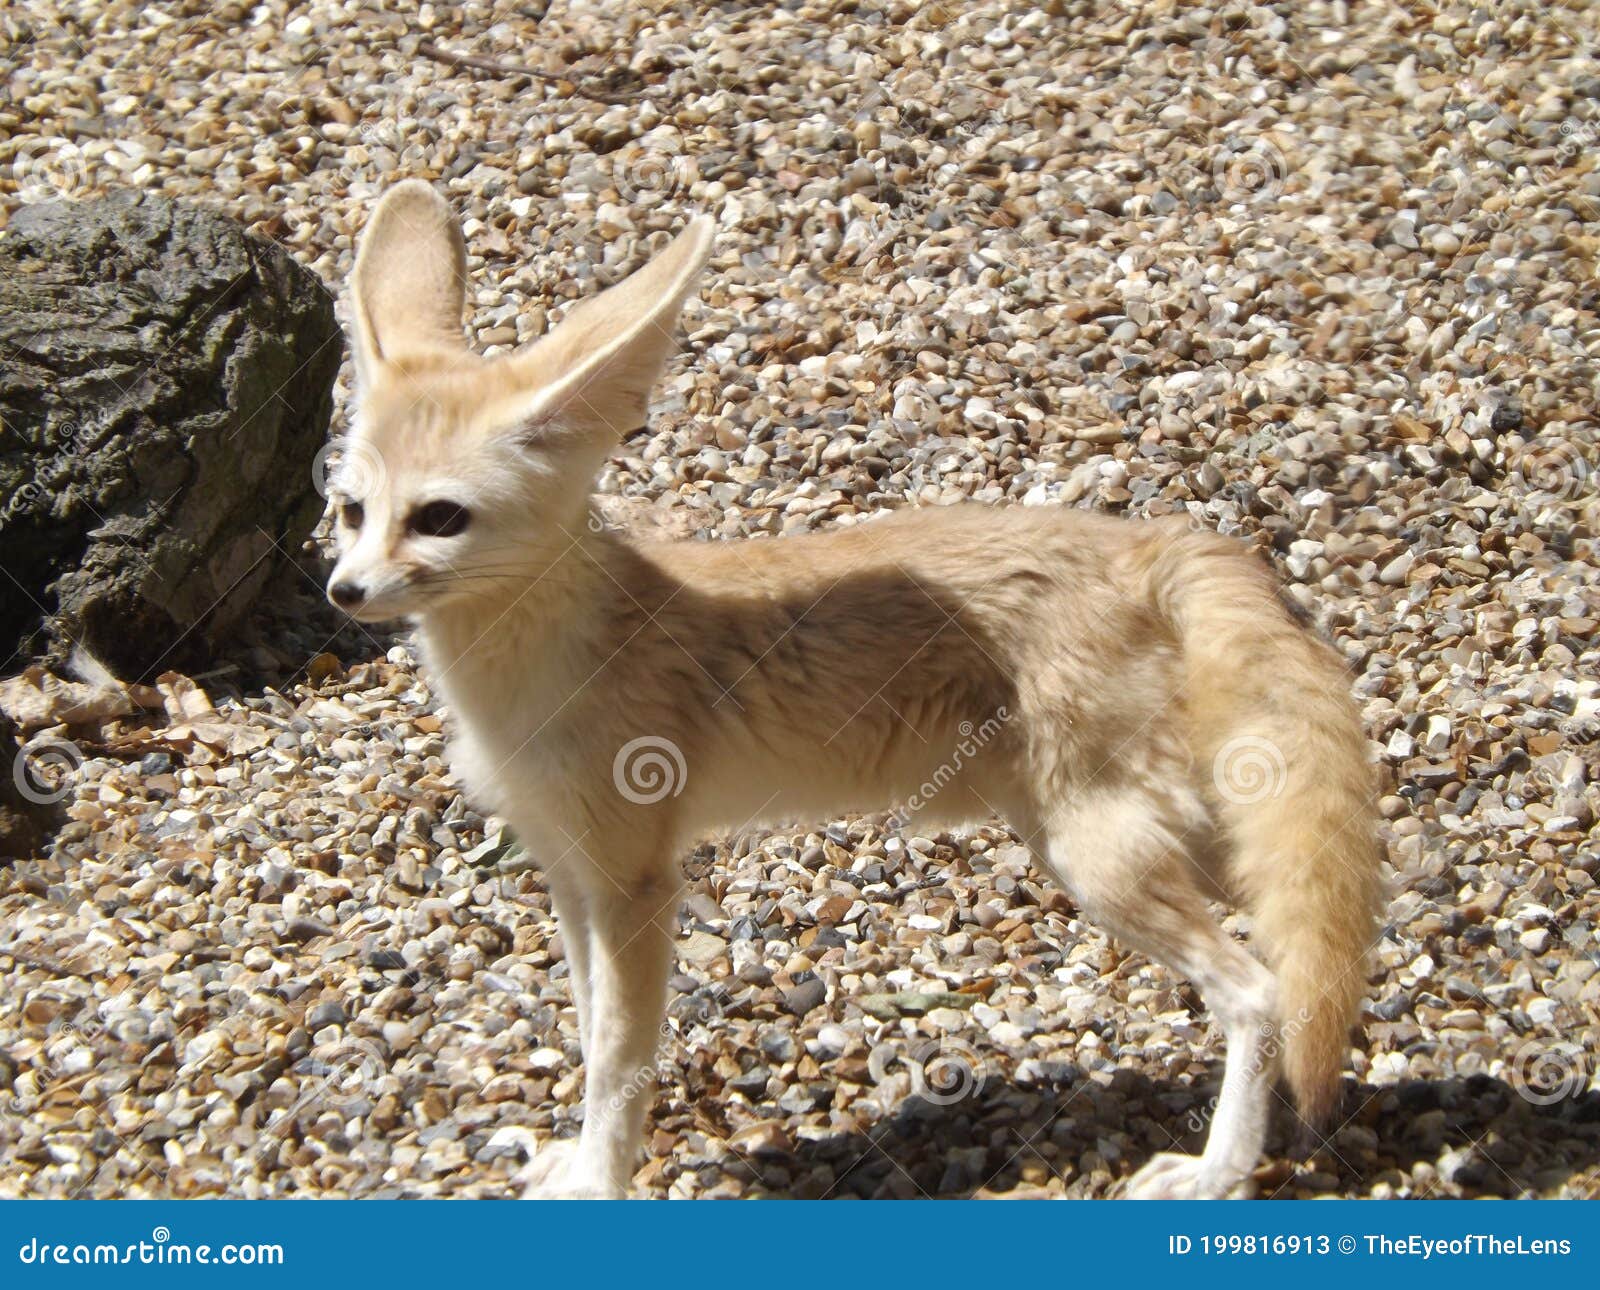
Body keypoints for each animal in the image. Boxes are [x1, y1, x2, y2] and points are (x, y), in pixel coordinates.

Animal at [325, 179, 1381, 1199]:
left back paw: (1217, 1173)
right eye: (348, 510)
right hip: (1134, 835)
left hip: (1099, 855)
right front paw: (578, 1162)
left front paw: (598, 1183)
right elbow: (589, 1039)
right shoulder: (569, 873)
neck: (532, 669)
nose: (343, 593)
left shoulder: (634, 885)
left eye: (440, 519)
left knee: (1260, 990)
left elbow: (617, 1061)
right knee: (1320, 924)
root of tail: (1144, 540)